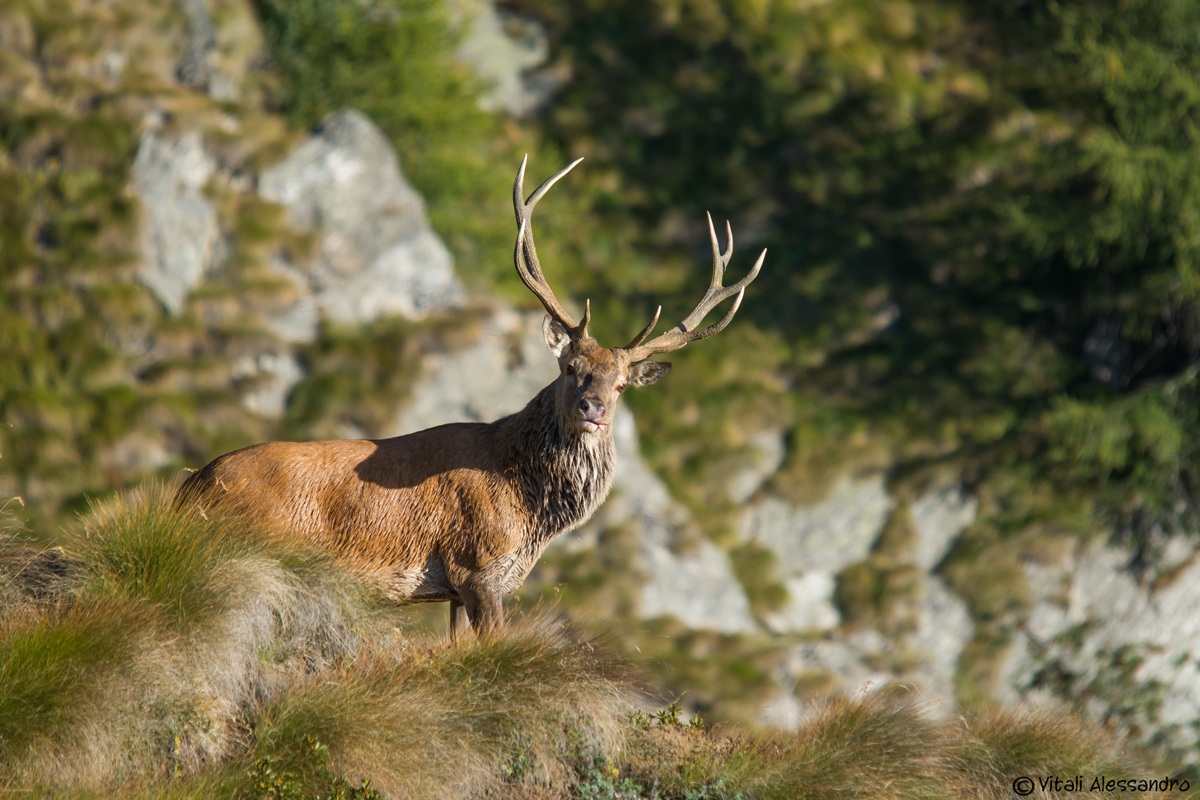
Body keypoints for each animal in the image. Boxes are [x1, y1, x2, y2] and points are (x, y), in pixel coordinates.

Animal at [176, 156, 765, 638]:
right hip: (259, 545)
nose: (593, 410)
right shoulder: (477, 567)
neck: (529, 511)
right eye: (570, 368)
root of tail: (189, 489)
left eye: (620, 384)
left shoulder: (457, 592)